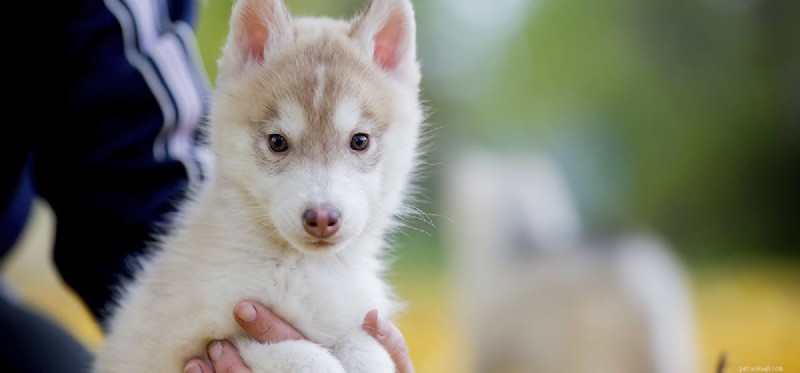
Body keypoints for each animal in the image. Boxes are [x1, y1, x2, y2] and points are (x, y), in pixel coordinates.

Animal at [92, 0, 424, 370]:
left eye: (360, 141)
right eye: (277, 142)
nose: (322, 218)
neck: (303, 269)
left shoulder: (359, 318)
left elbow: (367, 348)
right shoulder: (196, 342)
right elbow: (289, 352)